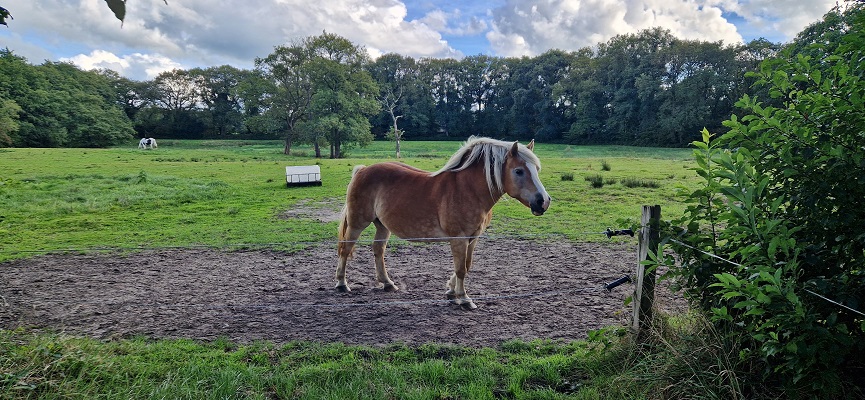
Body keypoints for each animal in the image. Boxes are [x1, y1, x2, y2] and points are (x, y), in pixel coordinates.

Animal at [334, 136, 552, 308]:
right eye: (519, 171)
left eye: (536, 169)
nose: (543, 201)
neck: (469, 190)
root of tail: (363, 170)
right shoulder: (459, 238)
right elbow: (461, 269)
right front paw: (463, 298)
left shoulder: (473, 238)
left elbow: (466, 265)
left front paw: (450, 290)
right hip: (357, 223)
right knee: (346, 249)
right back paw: (342, 284)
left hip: (382, 225)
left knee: (378, 250)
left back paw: (387, 283)